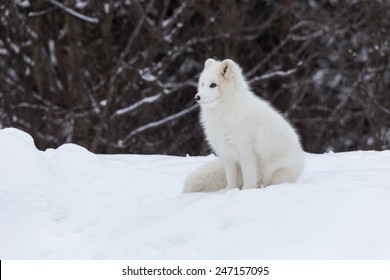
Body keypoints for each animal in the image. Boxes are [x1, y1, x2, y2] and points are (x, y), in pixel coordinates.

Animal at [183, 57, 304, 191]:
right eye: (203, 84)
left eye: (213, 85)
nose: (196, 97)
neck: (225, 111)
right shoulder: (227, 154)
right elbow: (230, 178)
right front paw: (229, 191)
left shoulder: (246, 151)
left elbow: (249, 176)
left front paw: (247, 190)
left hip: (278, 174)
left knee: (270, 181)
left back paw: (261, 185)